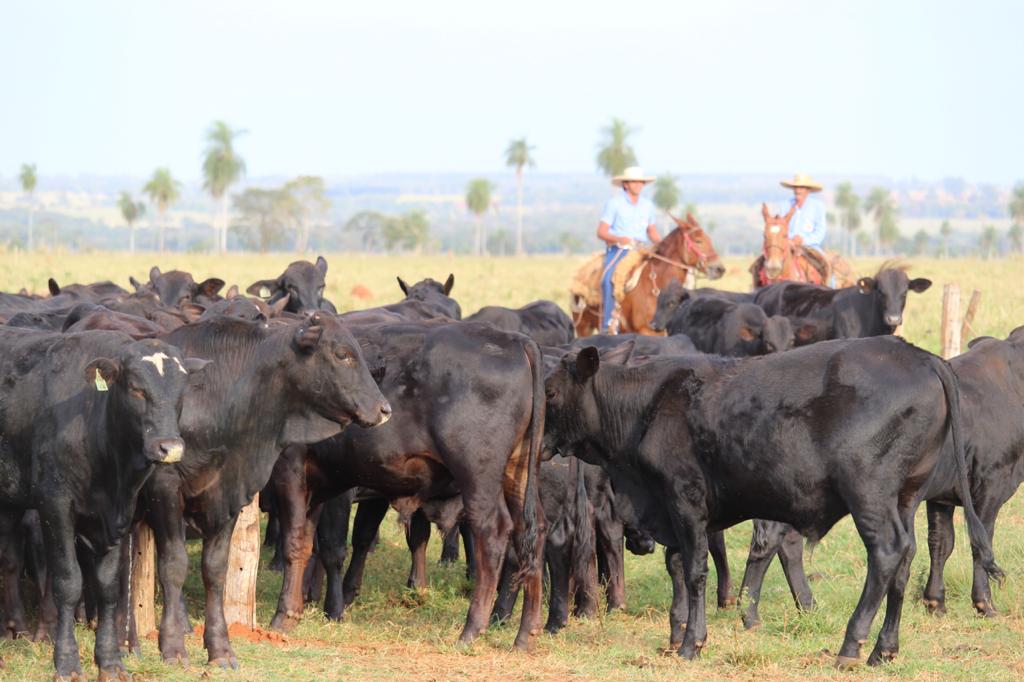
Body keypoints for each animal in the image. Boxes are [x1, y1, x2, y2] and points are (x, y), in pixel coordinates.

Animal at [0, 327, 201, 675]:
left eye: (182, 391)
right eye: (136, 389)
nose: (170, 448)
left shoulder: (115, 518)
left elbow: (108, 587)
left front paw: (109, 661)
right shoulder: (55, 505)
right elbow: (68, 582)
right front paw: (67, 662)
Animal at [138, 315, 389, 667]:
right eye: (342, 354)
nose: (384, 409)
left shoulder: (230, 493)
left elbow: (215, 569)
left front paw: (221, 649)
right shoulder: (165, 489)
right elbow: (173, 565)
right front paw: (172, 647)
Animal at [268, 319, 548, 647]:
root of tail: (514, 340)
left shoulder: (292, 469)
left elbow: (300, 544)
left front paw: (285, 615)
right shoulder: (318, 485)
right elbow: (311, 543)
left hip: (478, 476)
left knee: (492, 532)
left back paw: (471, 629)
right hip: (518, 472)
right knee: (533, 532)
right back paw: (526, 634)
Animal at [544, 339, 999, 663]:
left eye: (548, 391)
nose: (539, 443)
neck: (648, 405)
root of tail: (922, 356)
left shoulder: (684, 499)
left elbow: (693, 571)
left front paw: (692, 643)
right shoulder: (669, 512)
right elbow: (676, 567)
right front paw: (674, 636)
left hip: (869, 492)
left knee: (888, 553)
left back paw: (851, 646)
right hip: (907, 495)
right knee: (905, 559)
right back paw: (883, 649)